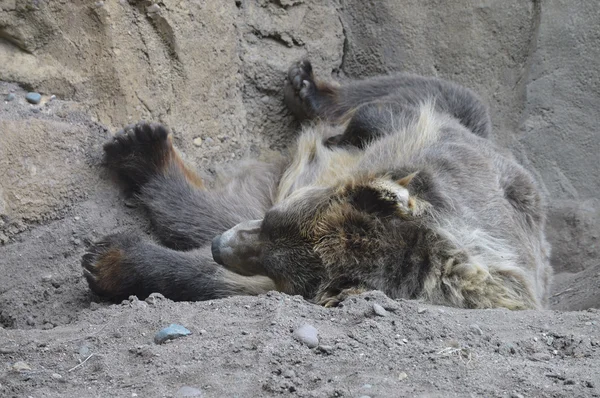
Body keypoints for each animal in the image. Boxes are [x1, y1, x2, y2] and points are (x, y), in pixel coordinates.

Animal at [81, 59, 552, 310]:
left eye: (278, 266)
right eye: (272, 220)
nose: (221, 246)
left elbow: (216, 280)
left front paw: (110, 261)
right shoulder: (444, 156)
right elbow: (394, 117)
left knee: (206, 212)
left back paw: (142, 152)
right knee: (446, 94)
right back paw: (307, 90)